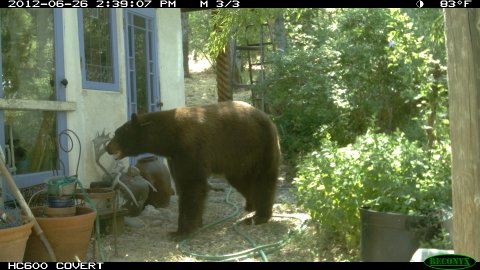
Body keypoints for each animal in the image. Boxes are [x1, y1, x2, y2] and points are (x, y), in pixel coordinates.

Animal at [108, 100, 282, 237]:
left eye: (118, 133)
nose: (108, 147)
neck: (169, 138)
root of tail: (268, 118)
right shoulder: (174, 158)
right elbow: (181, 182)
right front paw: (195, 224)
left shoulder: (190, 149)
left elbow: (192, 184)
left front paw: (180, 231)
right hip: (239, 158)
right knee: (241, 180)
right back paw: (250, 205)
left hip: (259, 145)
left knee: (263, 179)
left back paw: (259, 217)